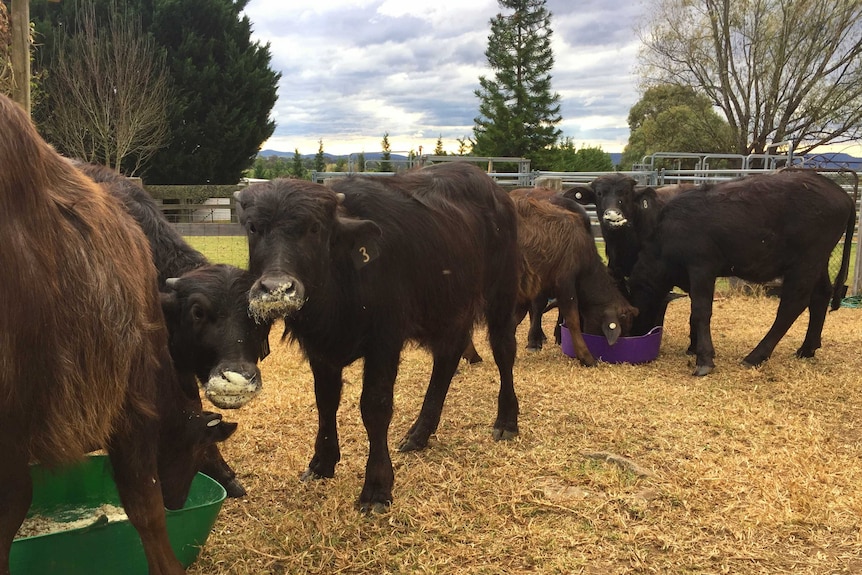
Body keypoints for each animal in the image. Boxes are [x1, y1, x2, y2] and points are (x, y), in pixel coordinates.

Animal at [236, 161, 520, 512]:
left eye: (314, 228)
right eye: (253, 227)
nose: (276, 288)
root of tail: (498, 193)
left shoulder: (385, 341)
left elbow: (375, 407)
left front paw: (376, 487)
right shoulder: (320, 350)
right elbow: (325, 401)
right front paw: (322, 463)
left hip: (502, 292)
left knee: (503, 349)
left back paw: (506, 421)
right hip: (449, 308)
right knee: (447, 358)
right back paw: (418, 434)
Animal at [628, 170, 856, 378]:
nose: (634, 334)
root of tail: (840, 193)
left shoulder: (701, 267)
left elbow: (701, 311)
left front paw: (704, 359)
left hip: (805, 263)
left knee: (792, 305)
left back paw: (755, 356)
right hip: (818, 262)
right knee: (821, 295)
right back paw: (807, 348)